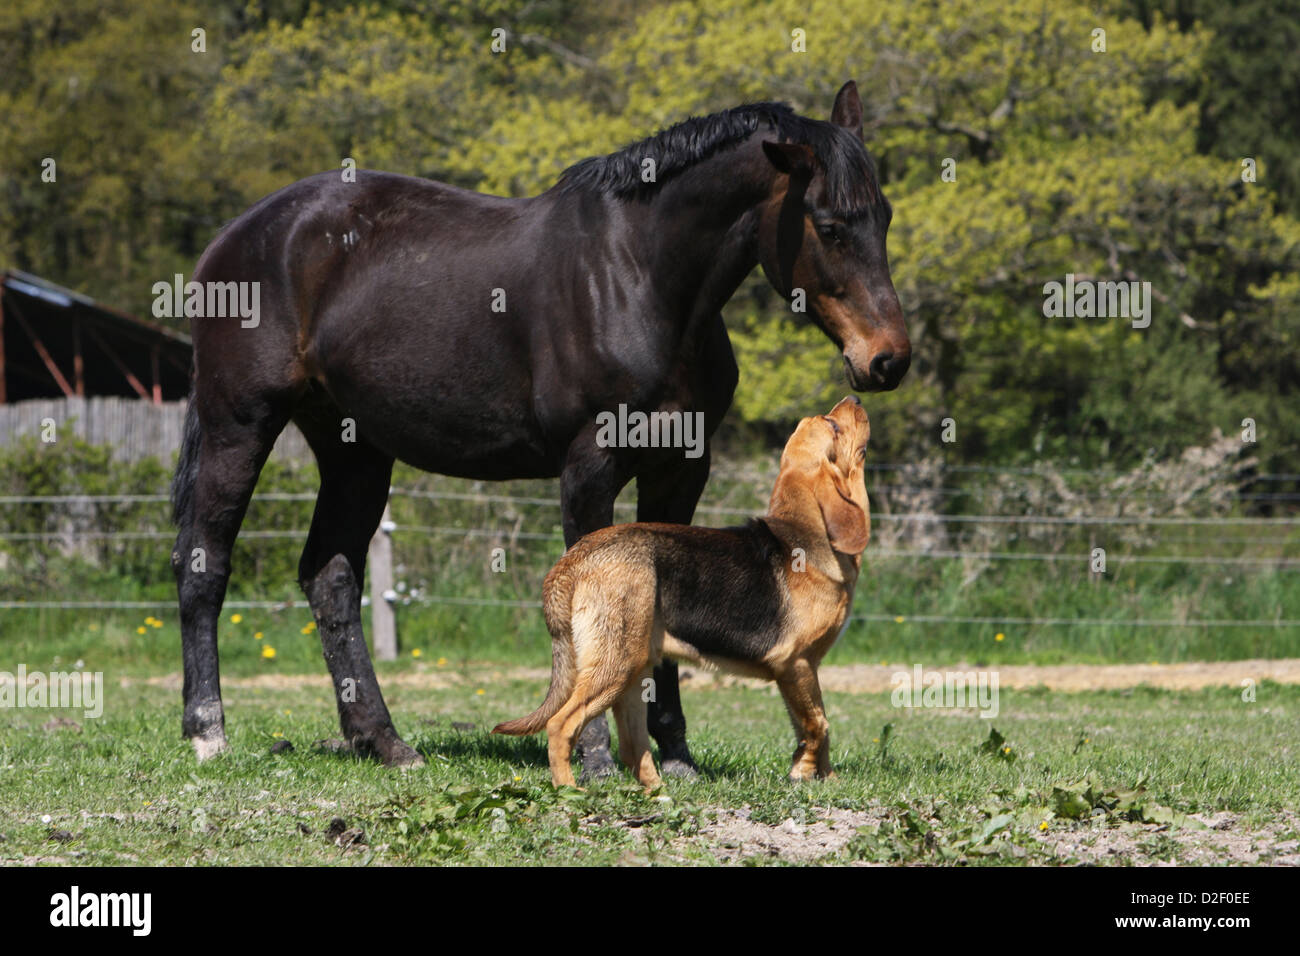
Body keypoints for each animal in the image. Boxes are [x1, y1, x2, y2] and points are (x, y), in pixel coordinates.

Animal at [493, 398, 873, 790]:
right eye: (833, 426)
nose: (856, 400)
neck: (808, 535)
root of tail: (576, 557)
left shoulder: (798, 674)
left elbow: (810, 727)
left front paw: (822, 777)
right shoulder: (796, 663)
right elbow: (819, 725)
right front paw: (809, 774)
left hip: (633, 672)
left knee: (634, 747)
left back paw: (657, 792)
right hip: (613, 667)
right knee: (561, 725)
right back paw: (569, 789)